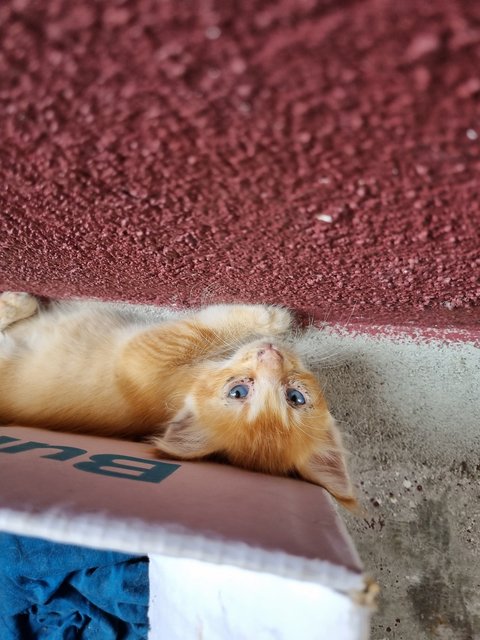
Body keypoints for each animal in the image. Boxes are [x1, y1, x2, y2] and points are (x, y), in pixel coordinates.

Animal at [0, 292, 356, 508]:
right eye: (296, 397)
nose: (271, 354)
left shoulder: (147, 353)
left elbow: (203, 327)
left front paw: (268, 319)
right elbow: (209, 330)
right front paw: (273, 319)